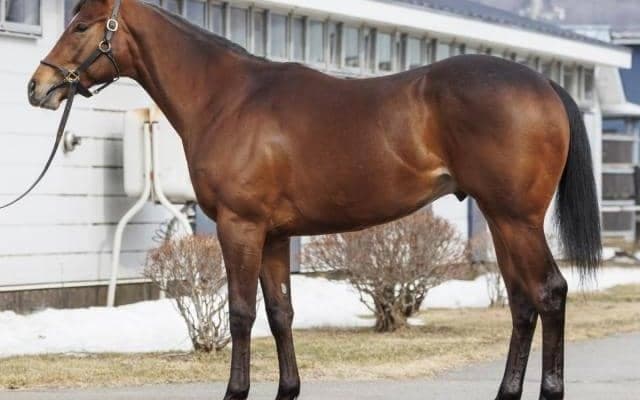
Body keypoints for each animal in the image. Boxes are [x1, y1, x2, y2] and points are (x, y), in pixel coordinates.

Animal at [28, 1, 601, 399]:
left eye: (81, 26)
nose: (38, 87)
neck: (228, 99)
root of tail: (543, 82)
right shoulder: (275, 235)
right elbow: (281, 311)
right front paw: (288, 389)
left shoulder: (240, 227)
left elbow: (241, 312)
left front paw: (235, 391)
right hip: (502, 221)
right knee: (523, 303)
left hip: (516, 219)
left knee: (549, 293)